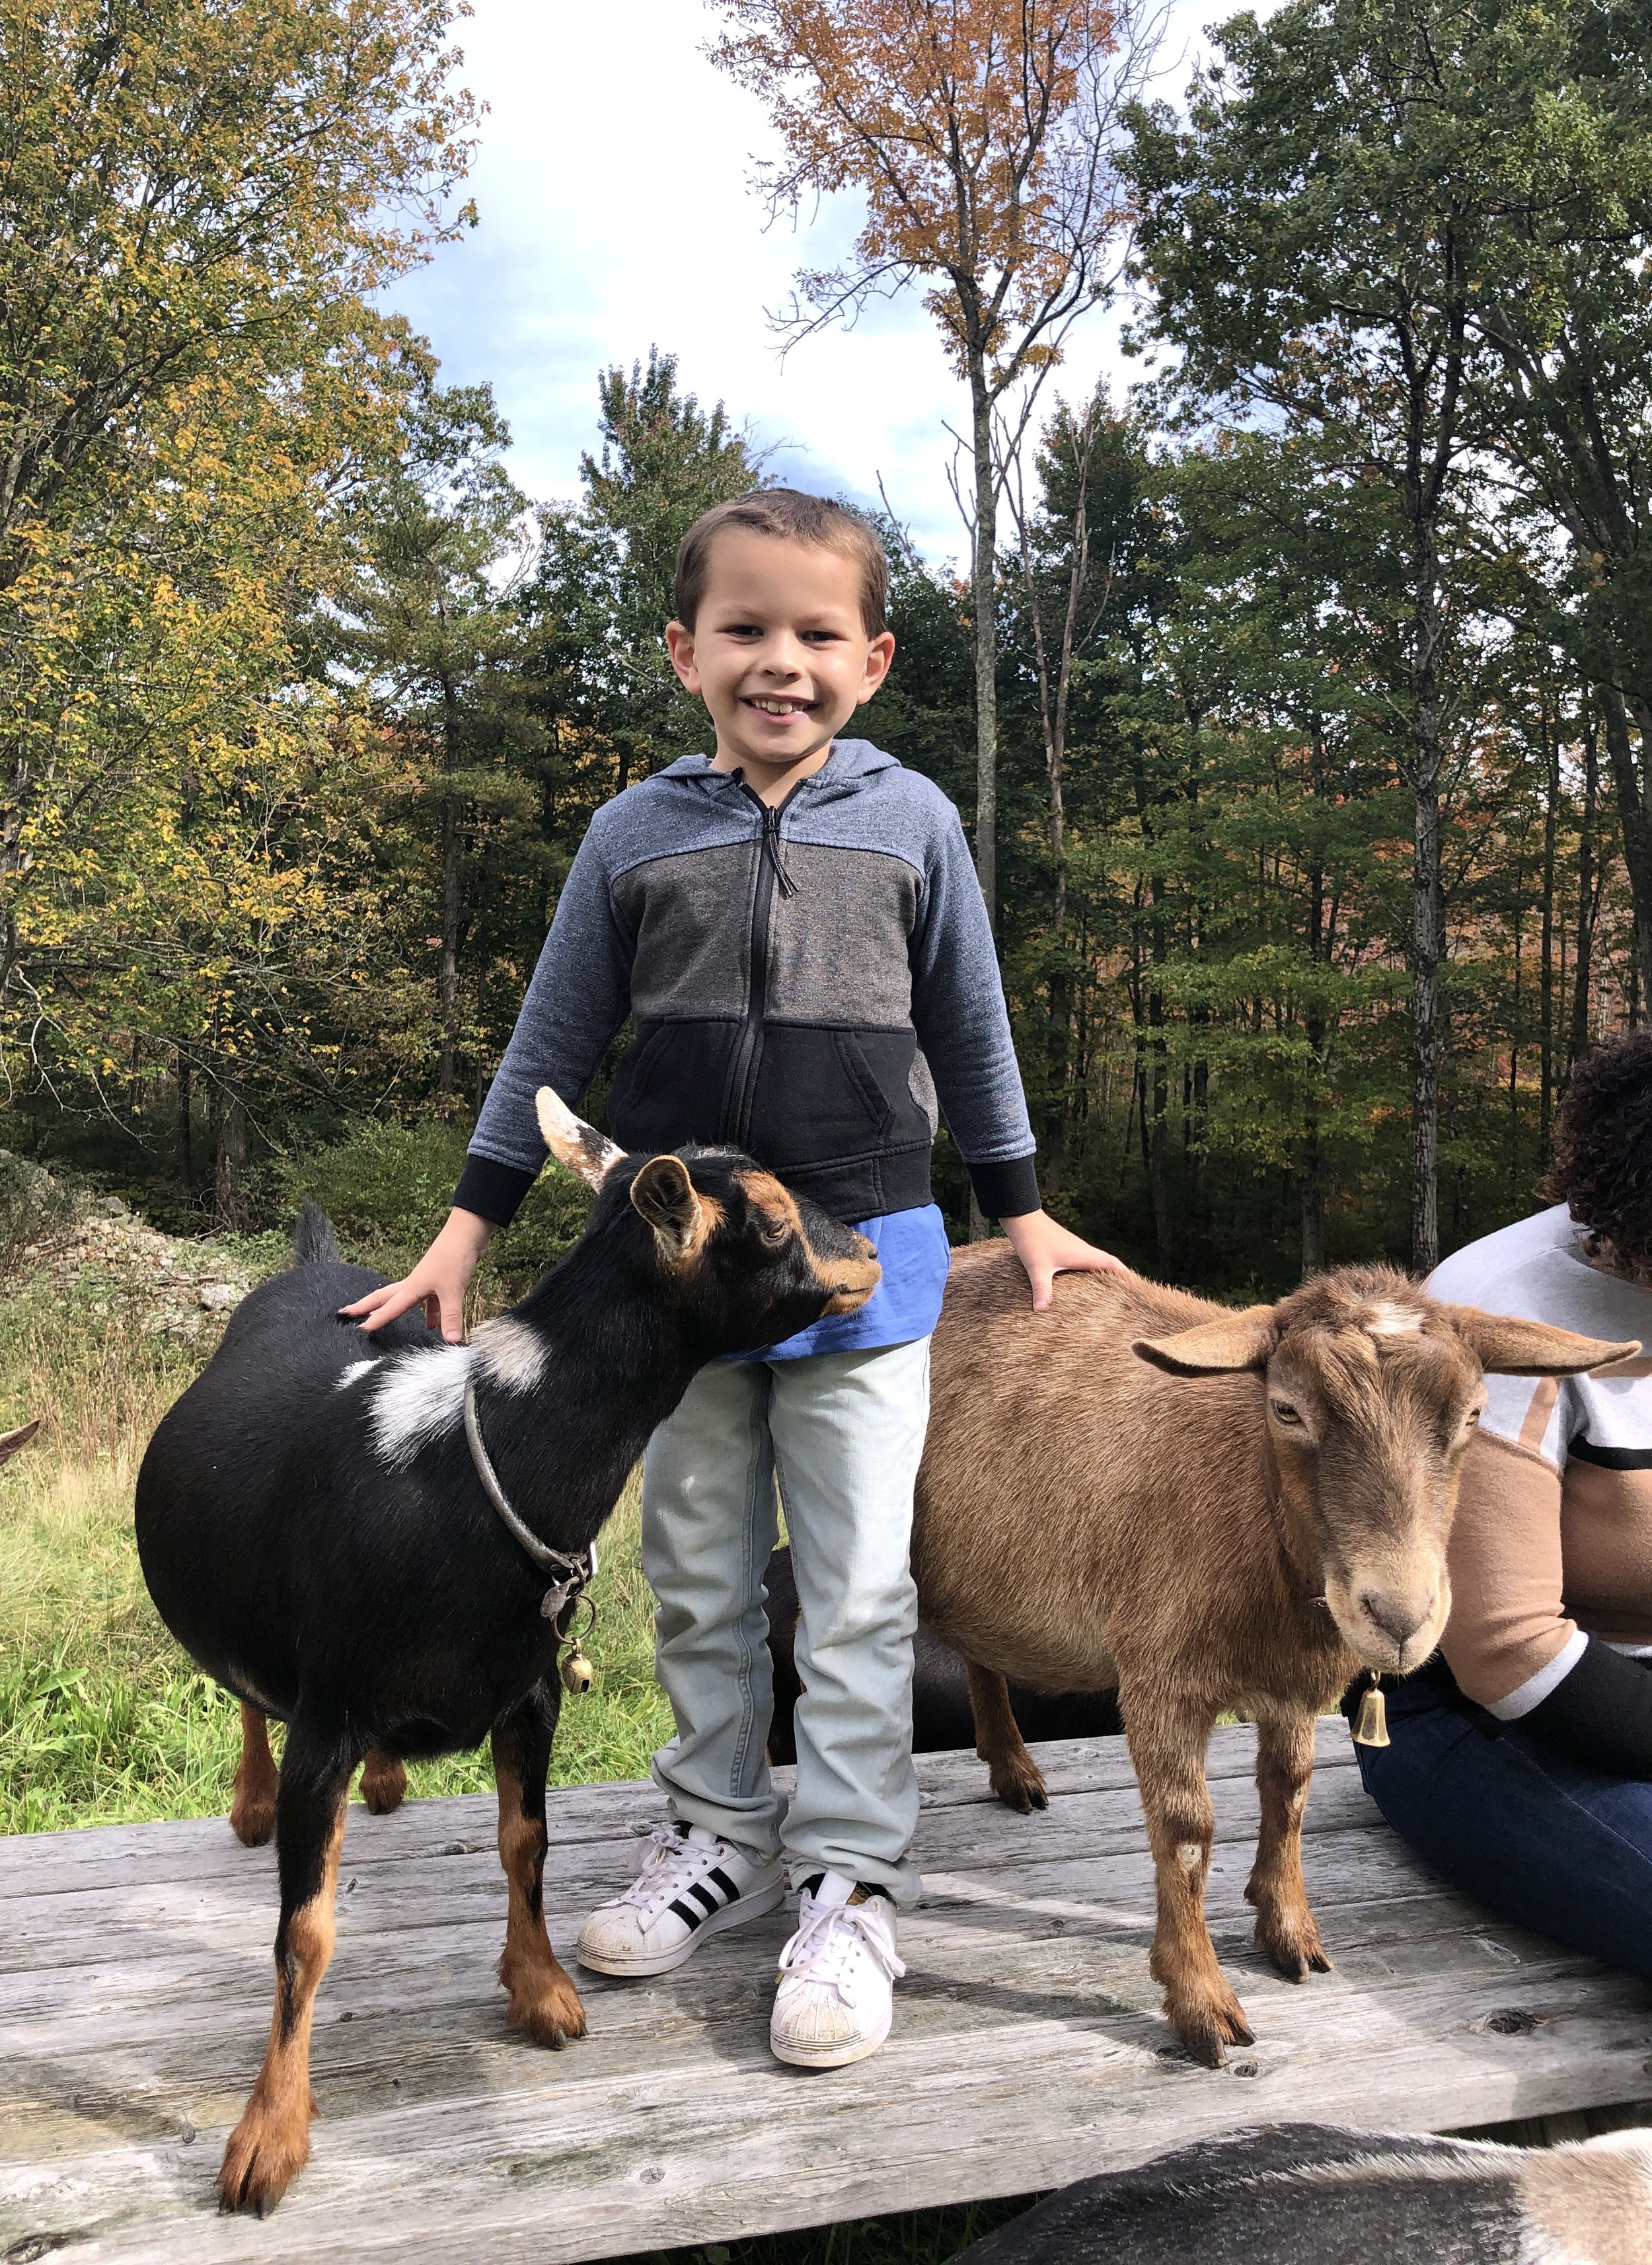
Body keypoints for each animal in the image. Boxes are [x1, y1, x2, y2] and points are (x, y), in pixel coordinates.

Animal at [131, 1087, 873, 2219]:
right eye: (778, 1220)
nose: (871, 1253)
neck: (470, 1473)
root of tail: (314, 1264)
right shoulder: (329, 1708)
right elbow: (306, 1930)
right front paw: (268, 2136)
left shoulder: (528, 1691)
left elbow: (526, 1843)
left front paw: (542, 1991)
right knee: (249, 1686)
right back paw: (252, 1803)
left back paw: (388, 1778)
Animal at [914, 1259, 1638, 2075]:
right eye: (1287, 1410)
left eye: (1474, 1415)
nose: (1398, 1617)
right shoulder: (1159, 1675)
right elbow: (1186, 1830)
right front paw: (1200, 2000)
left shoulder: (1292, 1683)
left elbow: (1288, 1791)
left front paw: (1289, 1928)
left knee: (979, 1651)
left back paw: (1010, 1765)